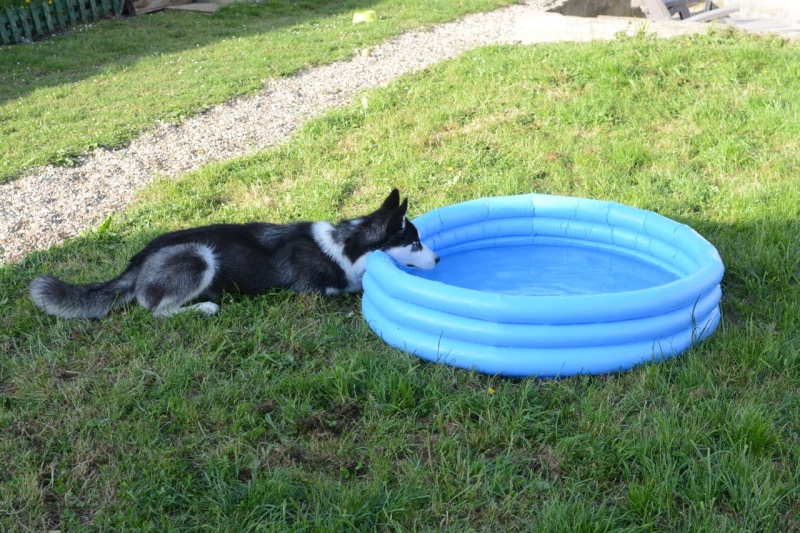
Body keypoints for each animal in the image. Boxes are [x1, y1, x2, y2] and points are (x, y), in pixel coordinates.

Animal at [29, 189, 438, 318]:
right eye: (415, 244)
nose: (437, 260)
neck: (346, 245)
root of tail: (137, 260)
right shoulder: (315, 292)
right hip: (199, 256)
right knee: (156, 310)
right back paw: (205, 307)